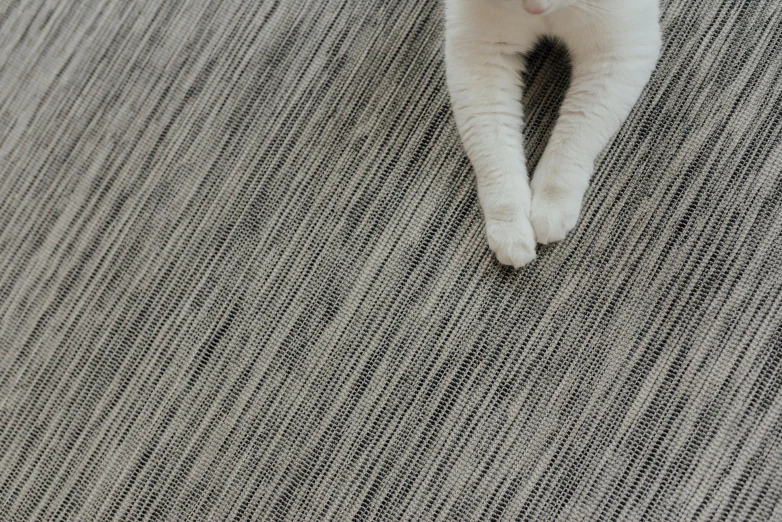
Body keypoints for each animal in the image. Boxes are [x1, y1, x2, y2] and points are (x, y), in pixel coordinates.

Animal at [448, 0, 660, 266]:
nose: (534, 9)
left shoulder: (621, 48)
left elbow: (576, 134)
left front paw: (552, 207)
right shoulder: (476, 54)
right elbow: (493, 151)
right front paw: (510, 230)